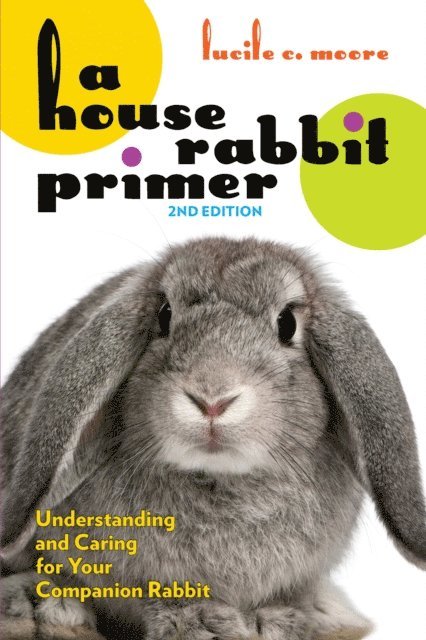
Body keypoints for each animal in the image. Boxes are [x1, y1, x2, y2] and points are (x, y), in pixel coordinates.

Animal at [1, 237, 425, 640]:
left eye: (287, 323)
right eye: (164, 316)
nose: (212, 399)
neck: (221, 477)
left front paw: (276, 621)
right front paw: (202, 624)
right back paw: (43, 608)